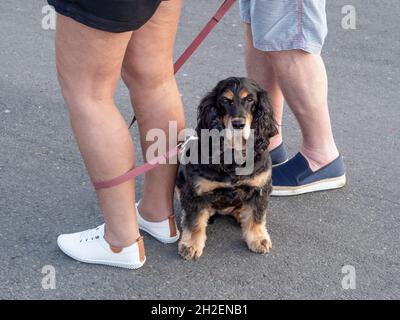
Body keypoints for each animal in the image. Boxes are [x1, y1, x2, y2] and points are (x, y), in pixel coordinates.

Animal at [176, 77, 278, 260]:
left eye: (250, 99)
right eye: (224, 100)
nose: (238, 124)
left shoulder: (260, 188)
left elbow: (256, 217)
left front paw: (258, 239)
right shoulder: (195, 191)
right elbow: (194, 220)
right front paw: (191, 245)